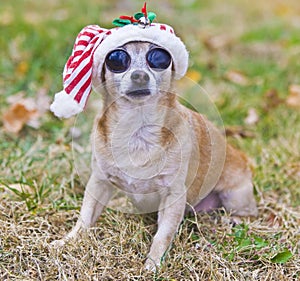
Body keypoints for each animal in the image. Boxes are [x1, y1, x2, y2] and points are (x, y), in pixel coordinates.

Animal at [52, 41, 258, 270]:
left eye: (159, 58)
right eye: (116, 60)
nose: (139, 75)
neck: (137, 130)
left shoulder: (173, 196)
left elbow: (162, 235)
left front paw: (153, 263)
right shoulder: (99, 182)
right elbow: (85, 216)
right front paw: (69, 241)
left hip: (235, 196)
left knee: (249, 212)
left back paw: (235, 220)